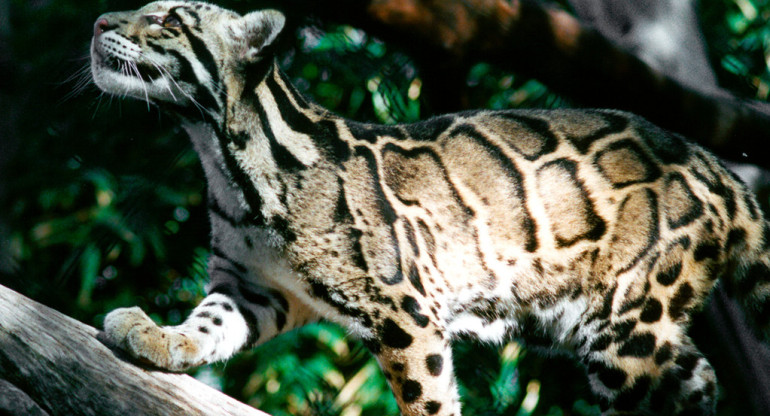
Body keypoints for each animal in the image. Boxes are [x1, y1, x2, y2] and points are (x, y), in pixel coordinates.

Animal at [91, 1, 768, 414]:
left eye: (165, 19)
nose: (97, 21)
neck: (222, 158)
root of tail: (720, 171)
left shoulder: (403, 305)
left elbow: (427, 393)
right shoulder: (251, 285)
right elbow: (209, 325)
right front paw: (161, 337)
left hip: (628, 322)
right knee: (701, 376)